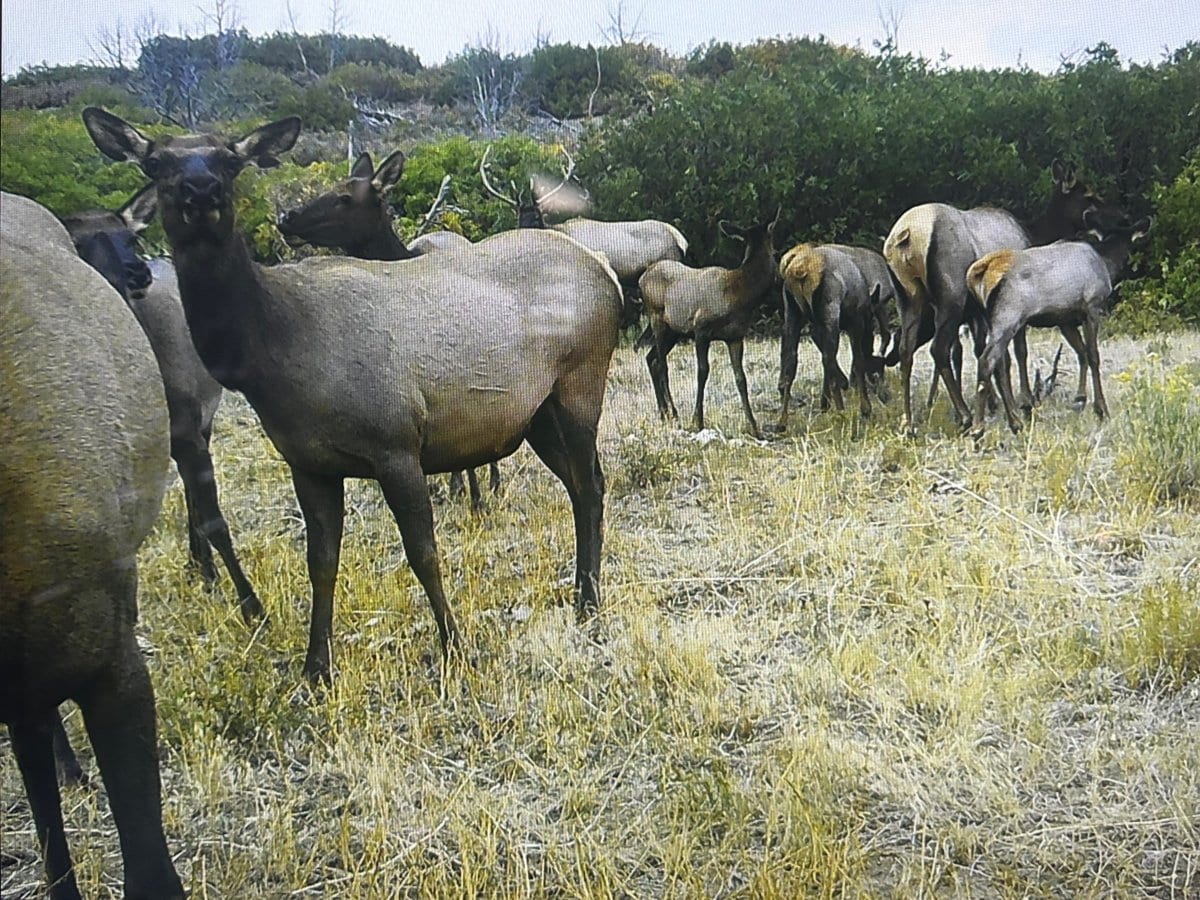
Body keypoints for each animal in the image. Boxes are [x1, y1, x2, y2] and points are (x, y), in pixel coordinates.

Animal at [639, 209, 780, 439]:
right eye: (775, 251)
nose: (779, 276)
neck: (739, 297)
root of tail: (642, 278)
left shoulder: (735, 336)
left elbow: (741, 378)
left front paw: (755, 427)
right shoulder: (701, 328)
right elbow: (702, 371)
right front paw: (697, 421)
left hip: (674, 331)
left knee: (651, 358)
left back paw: (663, 413)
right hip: (657, 317)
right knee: (661, 364)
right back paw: (674, 413)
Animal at [883, 160, 1113, 434]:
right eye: (1088, 195)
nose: (1116, 219)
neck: (1034, 235)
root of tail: (906, 234)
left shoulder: (981, 314)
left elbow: (988, 355)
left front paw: (1000, 405)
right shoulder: (1011, 310)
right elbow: (1017, 354)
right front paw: (1023, 403)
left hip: (907, 298)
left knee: (907, 349)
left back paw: (908, 422)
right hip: (951, 298)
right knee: (939, 349)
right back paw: (965, 415)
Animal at [966, 213, 1151, 436]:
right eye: (1132, 244)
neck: (1106, 264)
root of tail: (980, 271)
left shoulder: (1065, 320)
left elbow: (1081, 353)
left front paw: (1080, 399)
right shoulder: (1092, 306)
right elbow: (1093, 355)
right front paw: (1101, 409)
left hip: (992, 319)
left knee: (1000, 362)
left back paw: (1015, 421)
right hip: (1008, 315)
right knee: (988, 360)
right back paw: (979, 428)